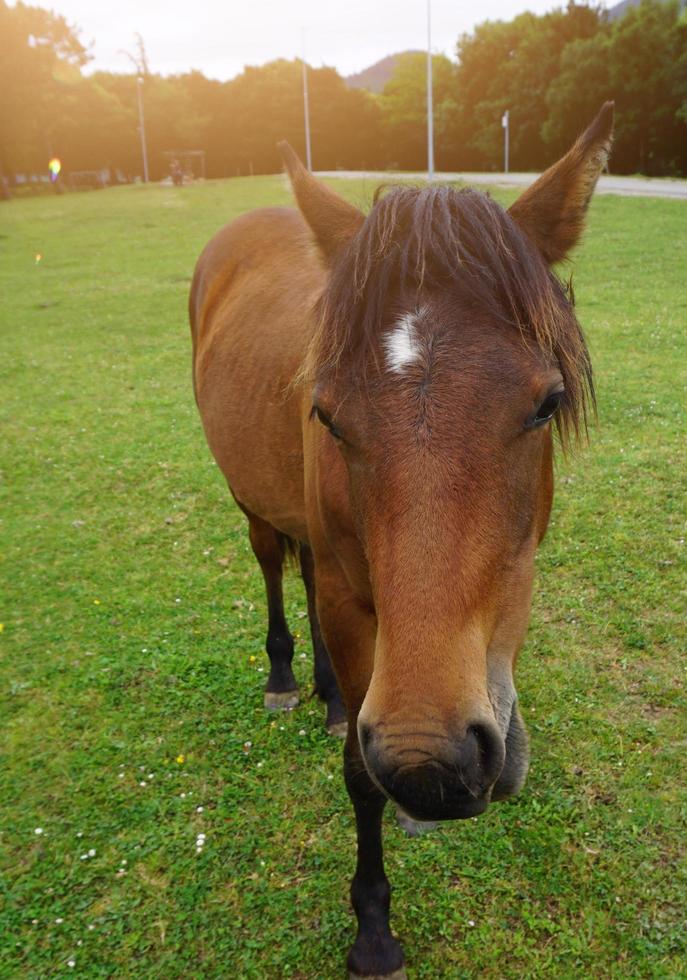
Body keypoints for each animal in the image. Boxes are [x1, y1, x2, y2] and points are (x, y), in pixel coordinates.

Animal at [188, 103, 612, 976]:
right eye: (325, 414)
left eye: (546, 403)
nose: (430, 762)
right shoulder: (356, 606)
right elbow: (359, 774)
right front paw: (373, 929)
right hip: (252, 506)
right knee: (274, 569)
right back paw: (287, 678)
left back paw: (326, 696)